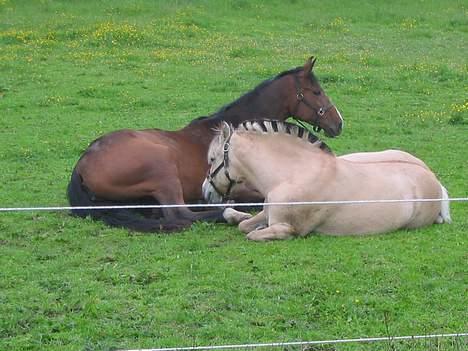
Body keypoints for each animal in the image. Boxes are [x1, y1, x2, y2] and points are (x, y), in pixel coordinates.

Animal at [203, 119, 452, 241]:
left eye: (212, 159)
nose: (205, 191)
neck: (293, 173)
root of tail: (432, 178)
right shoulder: (268, 213)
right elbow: (245, 225)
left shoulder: (289, 228)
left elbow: (253, 234)